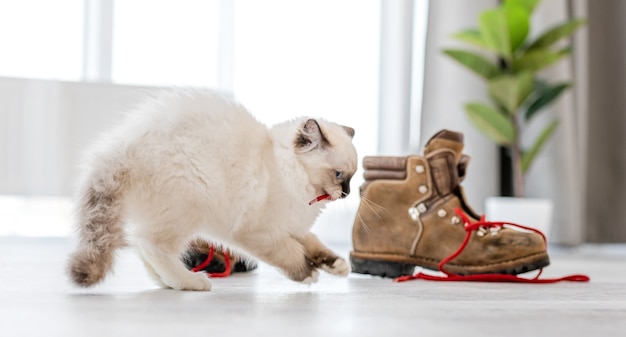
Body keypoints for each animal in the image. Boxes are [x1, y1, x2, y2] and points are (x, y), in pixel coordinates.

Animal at [67, 90, 356, 290]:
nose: (347, 194)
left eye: (352, 178)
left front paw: (338, 266)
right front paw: (309, 274)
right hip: (192, 205)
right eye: (339, 175)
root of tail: (120, 146)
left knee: (143, 248)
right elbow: (291, 255)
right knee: (151, 245)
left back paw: (169, 283)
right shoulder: (261, 233)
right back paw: (192, 282)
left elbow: (315, 244)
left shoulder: (294, 226)